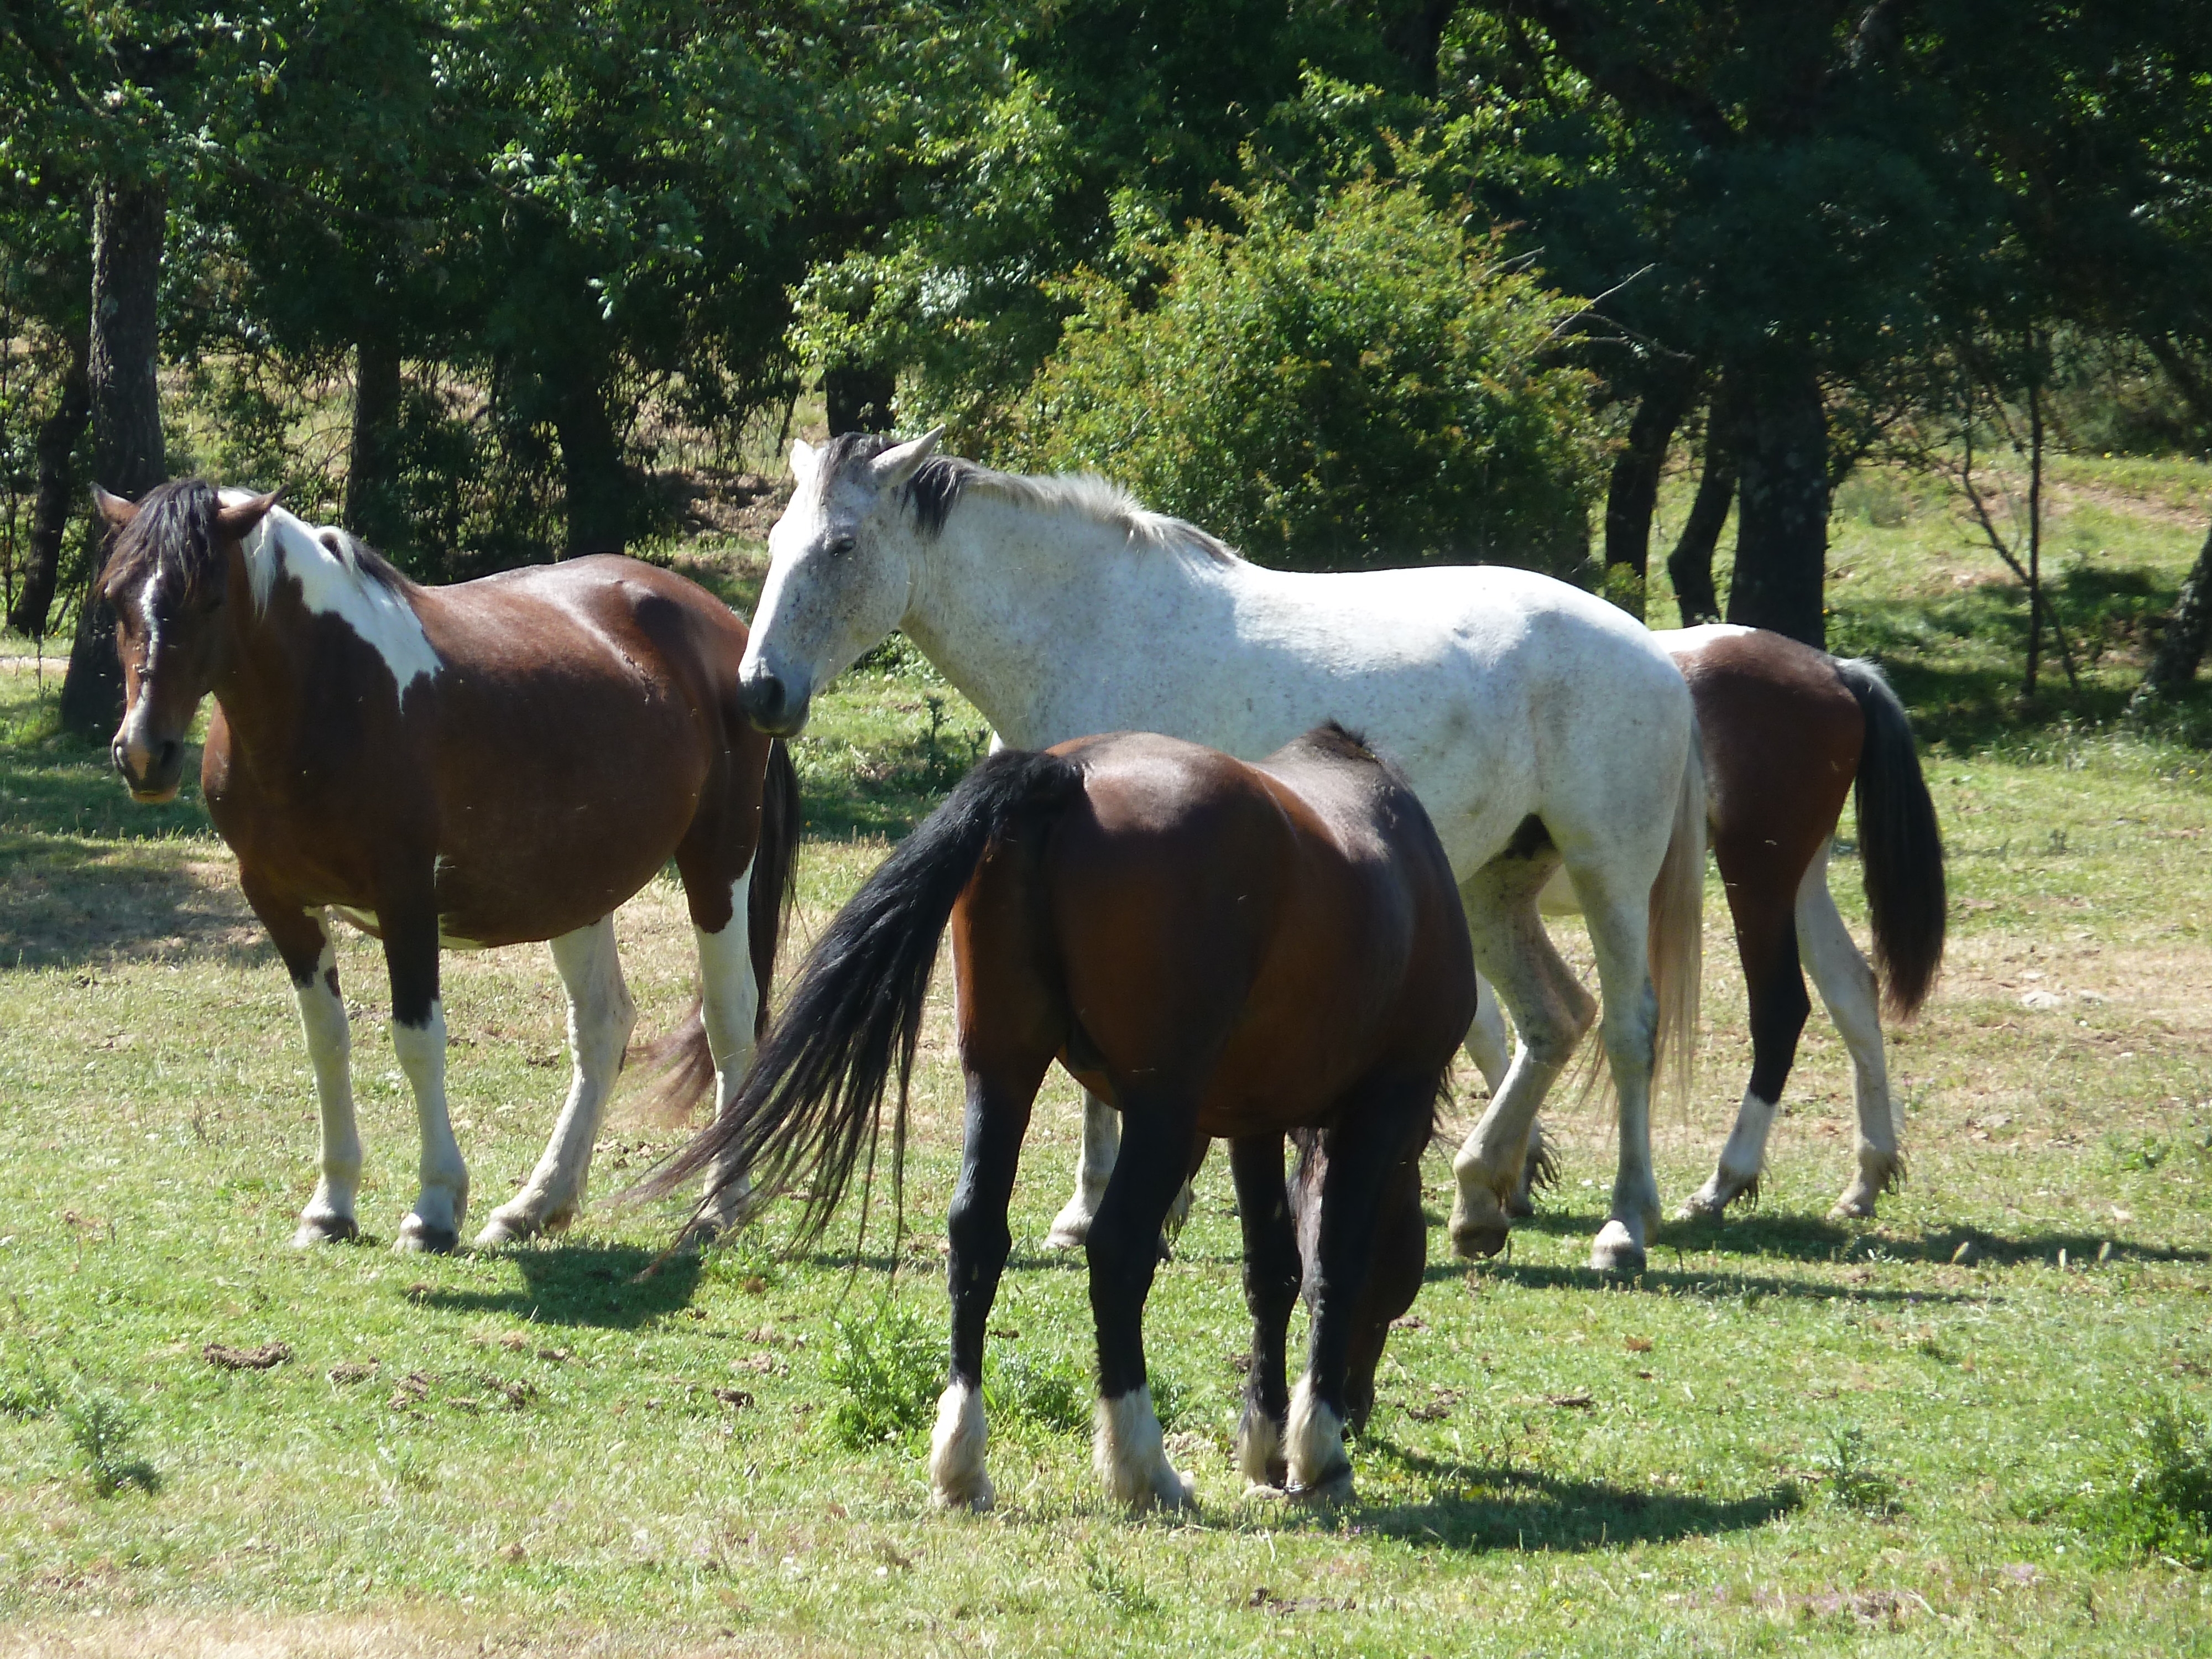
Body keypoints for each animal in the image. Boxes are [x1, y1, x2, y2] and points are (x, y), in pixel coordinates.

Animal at [100, 487, 805, 1256]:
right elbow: (327, 1044)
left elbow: (417, 1041)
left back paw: (720, 1204)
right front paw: (330, 1207)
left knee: (729, 1017)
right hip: (578, 889)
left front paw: (433, 1209)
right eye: (114, 598)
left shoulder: (406, 898)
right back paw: (535, 1206)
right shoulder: (280, 902)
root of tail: (732, 638)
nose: (145, 754)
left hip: (718, 861)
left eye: (207, 599)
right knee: (603, 1027)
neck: (331, 694)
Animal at [641, 721, 1469, 1513]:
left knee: (976, 1237)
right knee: (1117, 1252)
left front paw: (1266, 1446)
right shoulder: (1382, 1103)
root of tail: (1066, 773)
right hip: (1162, 1112)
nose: (1358, 1406)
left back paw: (961, 1463)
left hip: (1003, 1073)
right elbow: (1332, 1264)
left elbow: (1272, 1270)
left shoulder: (1254, 1117)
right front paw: (1317, 1452)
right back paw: (1144, 1468)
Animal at [734, 431, 1699, 1274]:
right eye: (779, 543)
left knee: (1628, 1028)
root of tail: (1657, 656)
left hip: (1608, 873)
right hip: (1498, 890)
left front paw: (1097, 1208)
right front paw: (1114, 1207)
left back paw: (1625, 1224)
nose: (761, 690)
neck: (1086, 631)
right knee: (1554, 1021)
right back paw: (1480, 1198)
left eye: (841, 547)